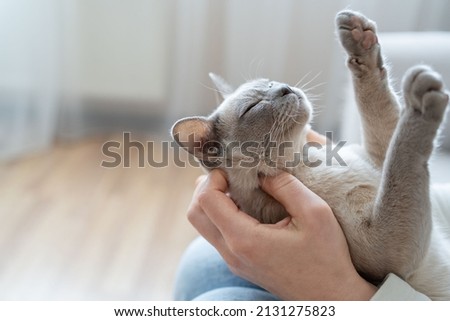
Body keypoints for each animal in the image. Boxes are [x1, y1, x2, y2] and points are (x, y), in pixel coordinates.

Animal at [171, 10, 448, 300]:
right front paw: (420, 99)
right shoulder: (385, 253)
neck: (306, 159)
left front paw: (357, 35)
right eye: (253, 107)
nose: (284, 88)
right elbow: (403, 154)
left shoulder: (378, 156)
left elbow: (378, 109)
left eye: (270, 83)